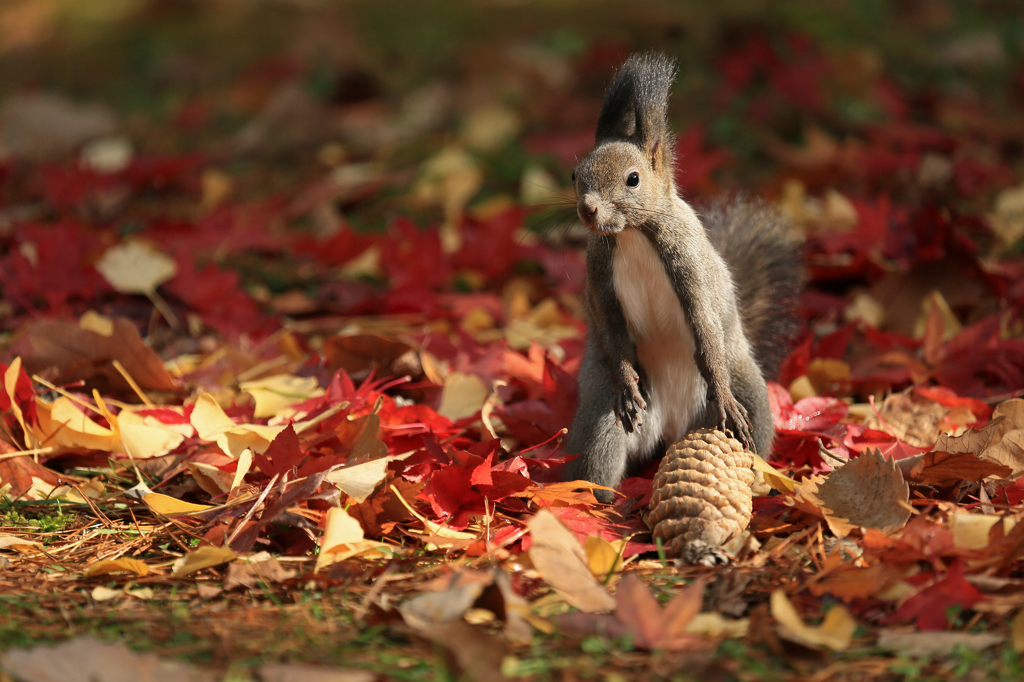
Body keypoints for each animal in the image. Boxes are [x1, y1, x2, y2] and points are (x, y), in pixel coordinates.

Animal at [565, 51, 802, 499]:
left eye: (633, 179)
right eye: (575, 175)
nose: (588, 209)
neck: (634, 235)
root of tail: (673, 429)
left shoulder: (690, 268)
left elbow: (705, 328)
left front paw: (723, 396)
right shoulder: (598, 278)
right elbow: (611, 330)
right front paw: (627, 382)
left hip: (750, 393)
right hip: (603, 419)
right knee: (598, 451)